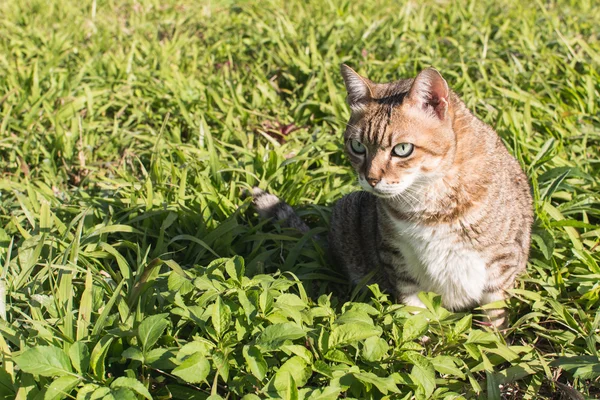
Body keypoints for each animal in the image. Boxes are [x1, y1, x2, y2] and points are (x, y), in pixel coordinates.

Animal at [251, 65, 532, 328]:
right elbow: (413, 308)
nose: (371, 179)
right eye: (357, 146)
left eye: (402, 149)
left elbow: (494, 315)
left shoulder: (502, 262)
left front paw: (493, 342)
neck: (428, 195)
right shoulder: (396, 256)